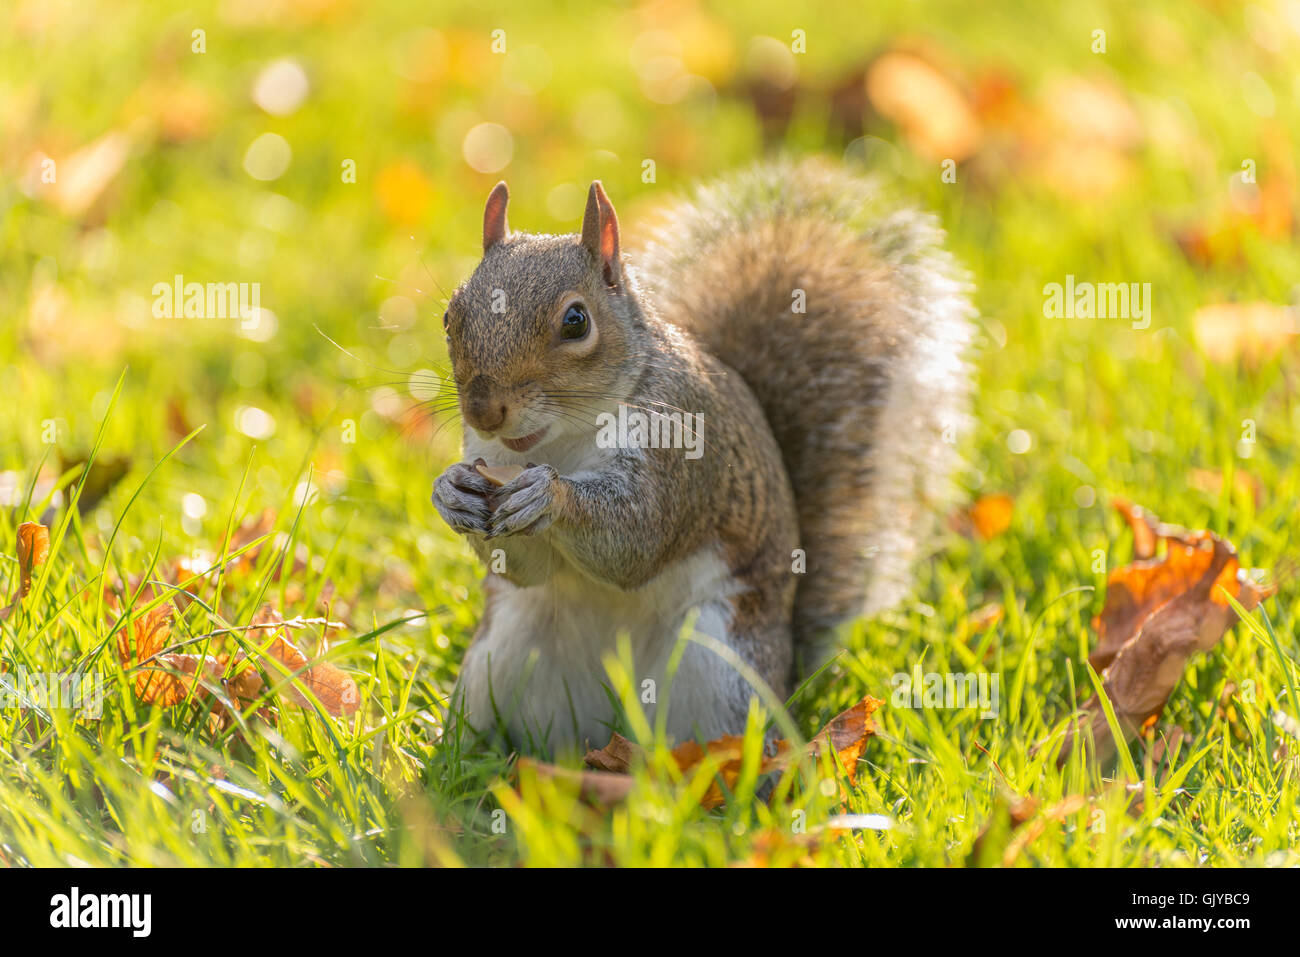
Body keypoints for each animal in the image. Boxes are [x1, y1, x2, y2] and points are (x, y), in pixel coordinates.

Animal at [431, 158, 972, 754]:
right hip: (499, 658)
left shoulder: (680, 447)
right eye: (450, 316)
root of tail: (601, 728)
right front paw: (450, 492)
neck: (561, 438)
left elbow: (637, 537)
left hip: (720, 668)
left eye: (576, 321)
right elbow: (527, 567)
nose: (484, 410)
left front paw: (548, 495)